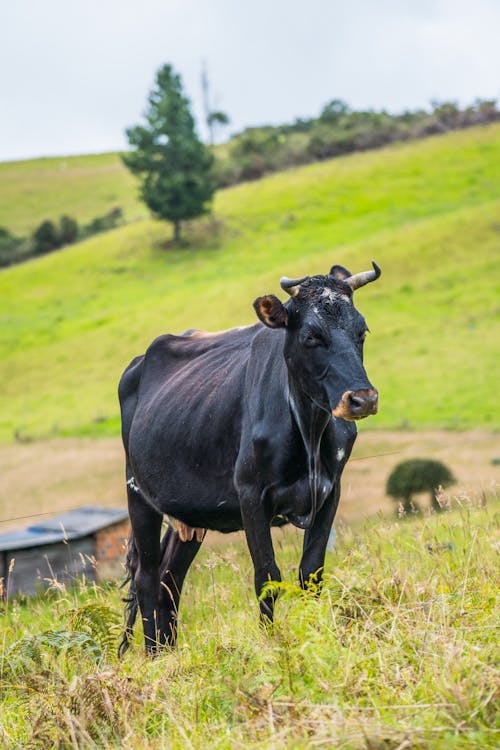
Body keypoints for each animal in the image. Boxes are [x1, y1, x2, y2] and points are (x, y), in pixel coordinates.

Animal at [119, 264, 380, 656]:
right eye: (311, 336)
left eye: (361, 331)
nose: (363, 399)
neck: (308, 432)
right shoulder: (251, 495)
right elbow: (267, 575)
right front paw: (272, 643)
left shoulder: (329, 491)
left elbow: (311, 571)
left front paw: (318, 635)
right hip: (138, 494)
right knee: (147, 576)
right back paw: (153, 656)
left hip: (189, 513)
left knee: (170, 577)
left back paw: (169, 653)